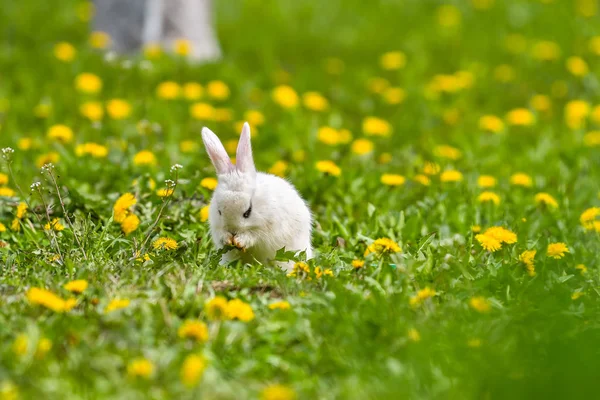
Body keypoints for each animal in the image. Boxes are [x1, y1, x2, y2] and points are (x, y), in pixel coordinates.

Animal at [202, 122, 314, 272]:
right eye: (219, 211)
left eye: (247, 212)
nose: (233, 231)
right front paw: (227, 239)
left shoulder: (266, 230)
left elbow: (254, 237)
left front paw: (240, 240)